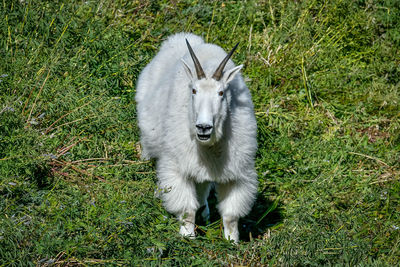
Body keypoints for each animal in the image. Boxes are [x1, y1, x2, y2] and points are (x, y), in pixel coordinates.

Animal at [136, 31, 258, 243]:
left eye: (221, 93)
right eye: (193, 90)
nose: (203, 128)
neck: (209, 146)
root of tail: (180, 38)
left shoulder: (237, 172)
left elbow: (230, 215)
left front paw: (232, 242)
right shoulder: (178, 167)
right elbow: (186, 209)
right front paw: (187, 237)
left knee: (203, 185)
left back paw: (205, 212)